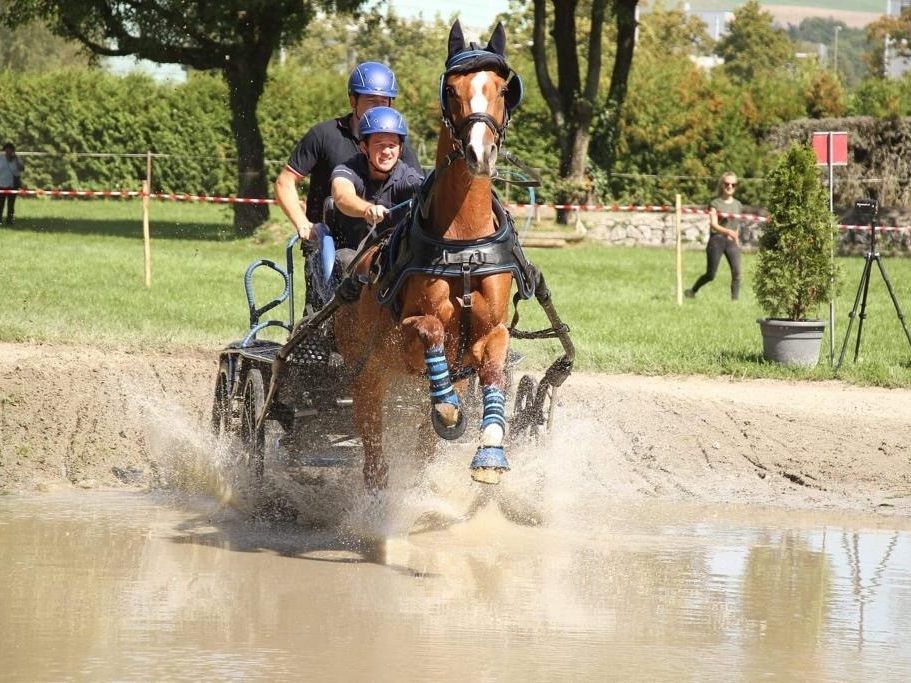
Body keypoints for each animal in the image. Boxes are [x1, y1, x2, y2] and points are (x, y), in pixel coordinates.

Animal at [334, 21, 528, 488]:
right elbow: (431, 330)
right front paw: (449, 408)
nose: (479, 153)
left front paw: (490, 451)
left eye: (502, 88)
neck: (464, 249)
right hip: (367, 373)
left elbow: (494, 369)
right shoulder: (405, 338)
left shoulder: (491, 333)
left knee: (421, 447)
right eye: (452, 89)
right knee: (374, 455)